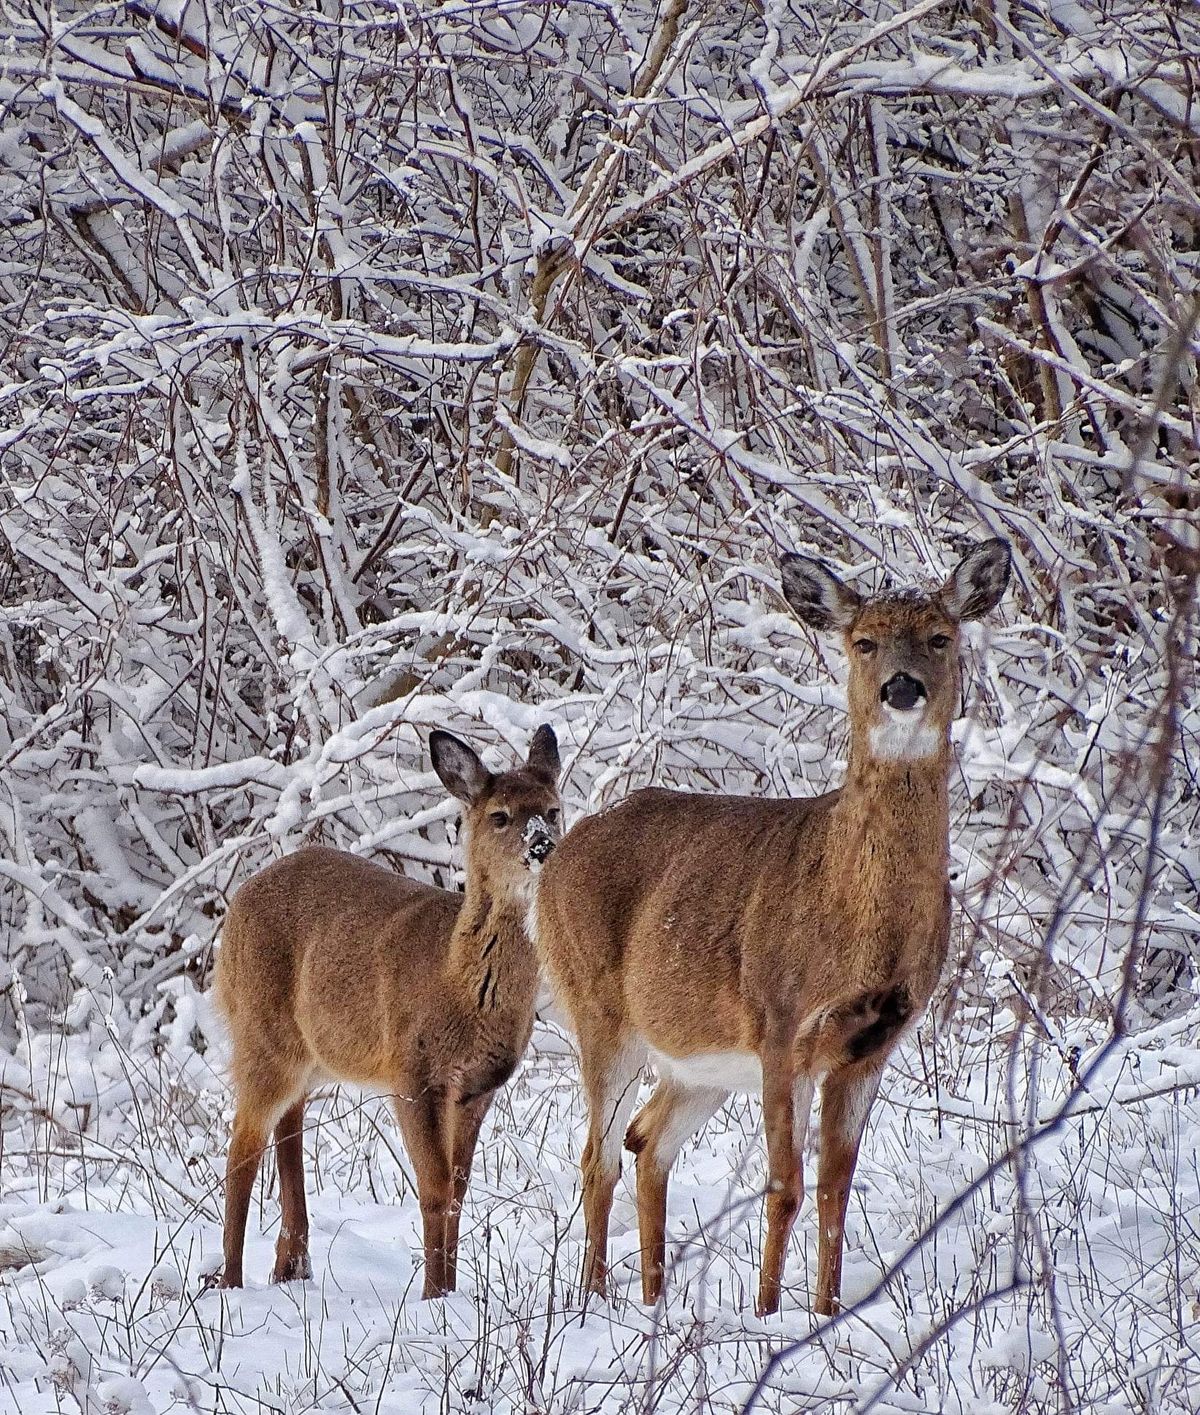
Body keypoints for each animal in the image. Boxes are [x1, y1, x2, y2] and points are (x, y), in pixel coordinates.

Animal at [212, 730, 563, 1296]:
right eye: (500, 816)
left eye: (553, 809)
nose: (542, 846)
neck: (457, 982)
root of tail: (237, 902)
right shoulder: (411, 1072)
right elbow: (435, 1187)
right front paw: (433, 1294)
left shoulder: (478, 1087)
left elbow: (459, 1190)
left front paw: (449, 1289)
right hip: (260, 1029)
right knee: (242, 1145)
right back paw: (231, 1282)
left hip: (311, 1053)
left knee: (289, 1125)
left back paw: (292, 1266)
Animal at [534, 537, 1013, 1313]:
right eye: (862, 641)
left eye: (941, 637)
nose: (901, 687)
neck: (855, 917)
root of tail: (556, 850)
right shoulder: (782, 1022)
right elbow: (784, 1186)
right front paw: (766, 1312)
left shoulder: (871, 1047)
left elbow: (834, 1191)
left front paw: (826, 1311)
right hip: (598, 1008)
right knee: (597, 1153)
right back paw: (593, 1298)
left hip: (700, 1059)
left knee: (647, 1142)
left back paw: (653, 1298)